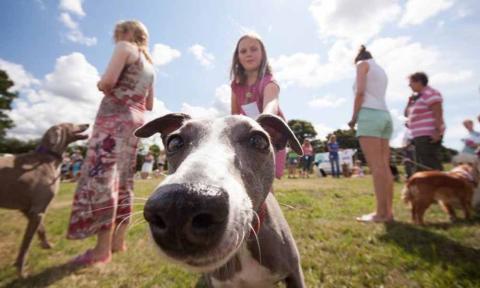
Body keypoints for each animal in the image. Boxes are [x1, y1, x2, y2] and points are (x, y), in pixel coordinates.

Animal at [0, 122, 89, 276]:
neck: (48, 158)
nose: (87, 124)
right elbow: (26, 243)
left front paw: (46, 245)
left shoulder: (29, 210)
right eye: (71, 124)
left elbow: (41, 230)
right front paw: (21, 271)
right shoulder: (37, 211)